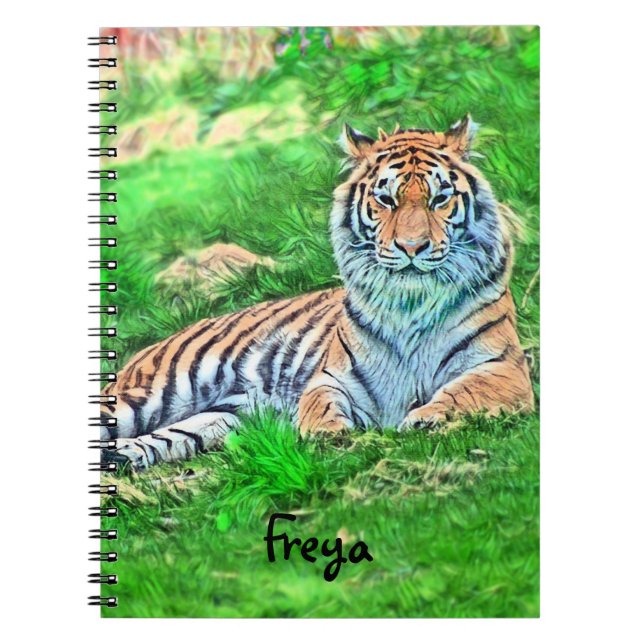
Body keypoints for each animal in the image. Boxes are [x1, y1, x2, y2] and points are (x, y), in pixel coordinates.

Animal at [101, 116, 534, 470]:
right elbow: (320, 404)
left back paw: (122, 459)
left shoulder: (502, 368)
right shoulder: (332, 377)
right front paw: (328, 435)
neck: (411, 302)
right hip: (151, 393)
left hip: (219, 415)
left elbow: (462, 393)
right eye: (385, 199)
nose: (412, 247)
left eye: (440, 199)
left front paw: (423, 418)